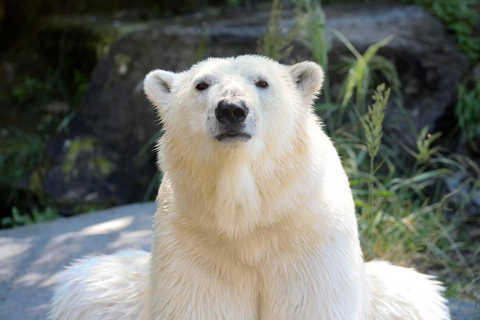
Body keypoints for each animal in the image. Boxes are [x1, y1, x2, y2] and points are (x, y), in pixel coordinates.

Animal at [49, 55, 450, 320]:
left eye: (262, 82)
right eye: (201, 85)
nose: (231, 110)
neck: (248, 212)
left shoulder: (310, 233)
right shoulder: (192, 240)